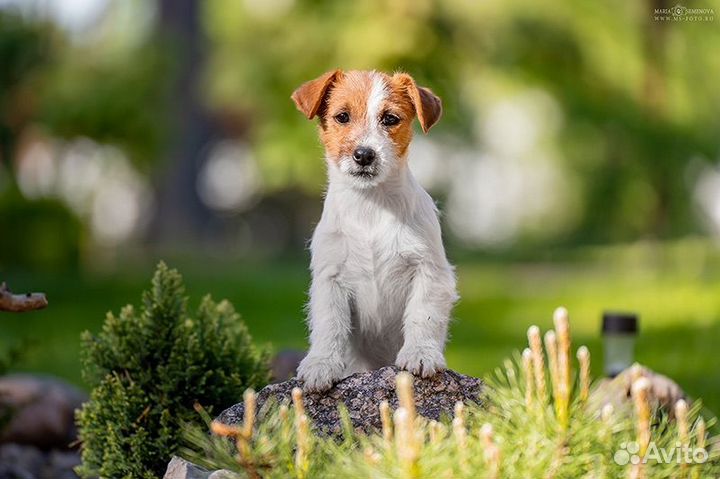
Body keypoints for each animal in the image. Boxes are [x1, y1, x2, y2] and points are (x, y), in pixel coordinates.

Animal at [292, 71, 456, 394]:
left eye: (390, 119)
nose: (364, 155)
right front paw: (321, 363)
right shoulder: (330, 279)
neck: (371, 207)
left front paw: (420, 353)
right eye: (342, 116)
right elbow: (330, 324)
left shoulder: (430, 272)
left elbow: (423, 314)